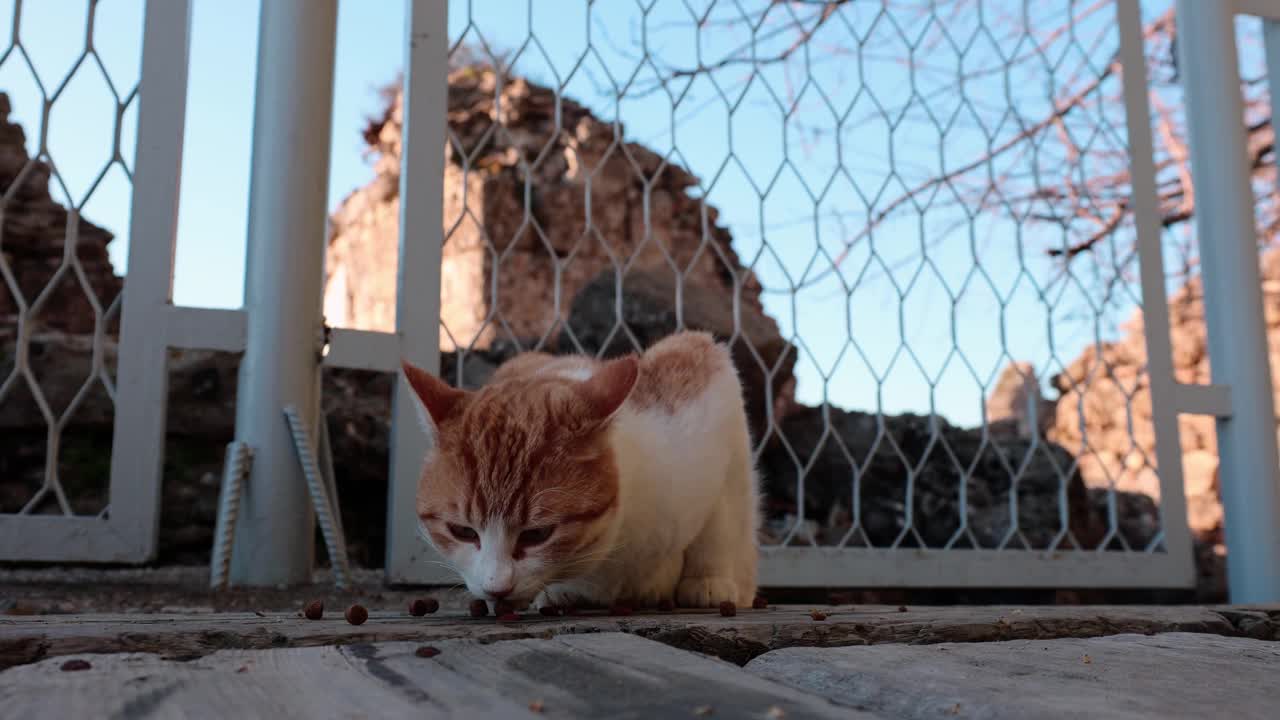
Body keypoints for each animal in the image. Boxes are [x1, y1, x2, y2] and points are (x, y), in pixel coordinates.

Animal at [404, 330, 752, 604]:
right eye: (462, 531)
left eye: (537, 534)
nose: (496, 589)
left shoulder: (706, 375)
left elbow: (719, 520)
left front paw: (709, 579)